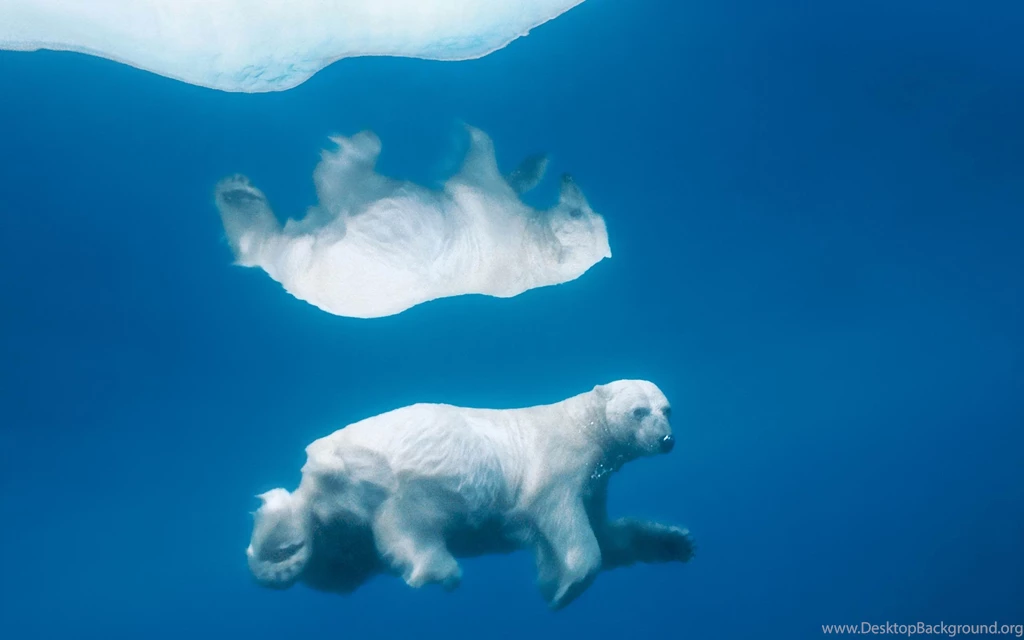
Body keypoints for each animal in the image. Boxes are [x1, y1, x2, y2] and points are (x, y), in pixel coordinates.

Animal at [214, 126, 611, 319]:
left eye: (577, 213)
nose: (569, 178)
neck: (530, 254)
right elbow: (507, 178)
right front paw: (536, 163)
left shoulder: (487, 207)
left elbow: (479, 165)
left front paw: (469, 132)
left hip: (324, 247)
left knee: (333, 185)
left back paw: (239, 190)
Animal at [246, 380, 695, 609]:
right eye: (639, 411)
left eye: (667, 408)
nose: (667, 440)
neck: (582, 424)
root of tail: (314, 473)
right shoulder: (558, 464)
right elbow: (564, 521)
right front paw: (562, 588)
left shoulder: (596, 481)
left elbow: (611, 534)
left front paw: (675, 541)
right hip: (401, 479)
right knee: (408, 524)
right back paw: (437, 569)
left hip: (341, 524)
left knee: (335, 561)